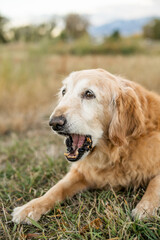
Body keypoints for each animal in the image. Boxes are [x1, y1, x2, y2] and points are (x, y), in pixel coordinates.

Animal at [11, 68, 160, 223]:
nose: (54, 123)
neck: (116, 153)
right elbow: (56, 188)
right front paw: (30, 207)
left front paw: (145, 208)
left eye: (89, 94)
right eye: (64, 92)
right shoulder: (81, 172)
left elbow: (155, 184)